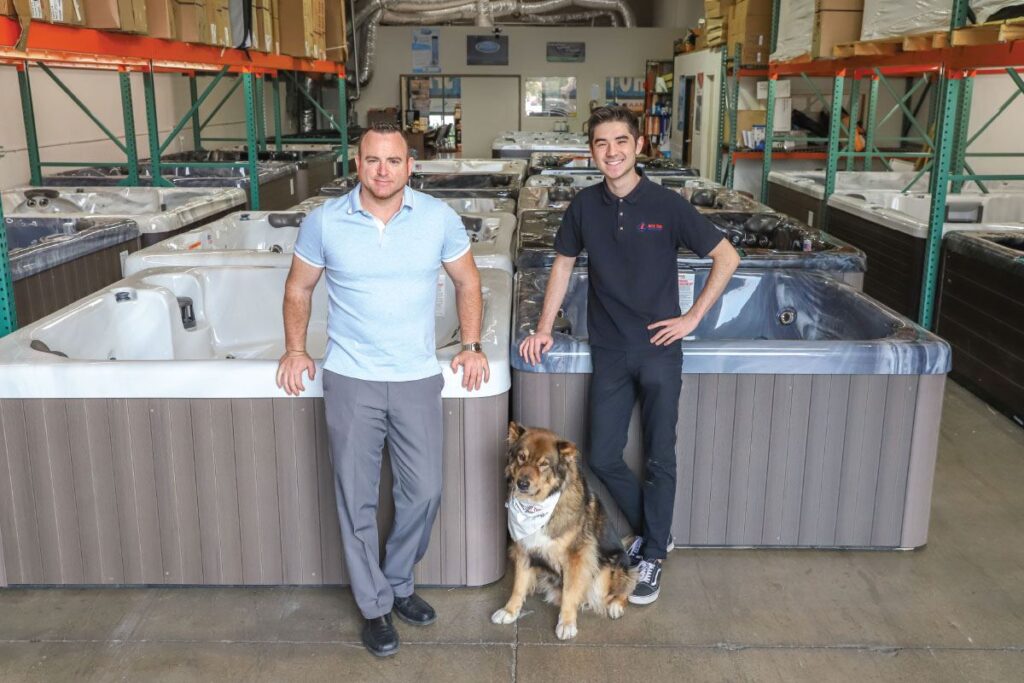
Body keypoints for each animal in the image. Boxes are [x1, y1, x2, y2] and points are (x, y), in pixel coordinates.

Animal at [491, 422, 637, 640]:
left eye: (544, 464)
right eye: (521, 457)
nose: (522, 484)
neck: (537, 507)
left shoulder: (576, 556)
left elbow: (570, 591)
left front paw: (567, 623)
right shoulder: (524, 549)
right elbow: (518, 584)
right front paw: (510, 610)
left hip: (606, 569)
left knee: (623, 588)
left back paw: (615, 606)